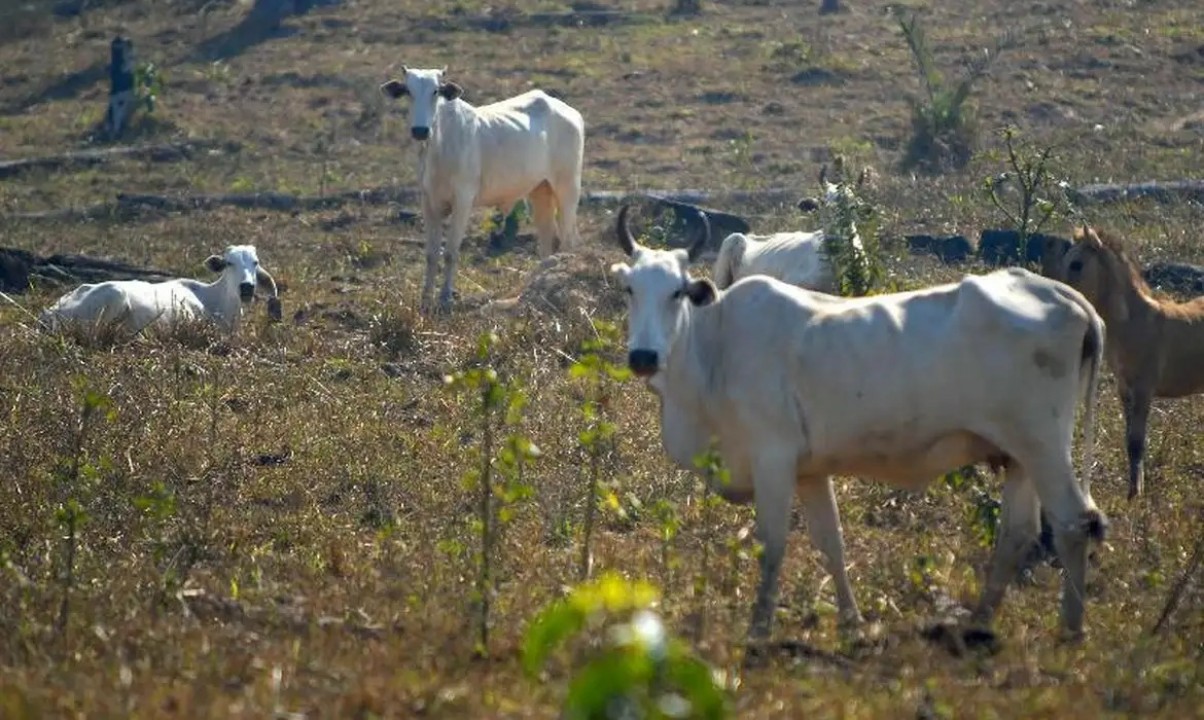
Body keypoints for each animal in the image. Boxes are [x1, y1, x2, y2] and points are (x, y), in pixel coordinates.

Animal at [375, 67, 582, 313]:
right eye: (408, 91)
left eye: (435, 91)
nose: (420, 131)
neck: (439, 145)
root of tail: (569, 111)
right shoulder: (428, 201)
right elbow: (431, 254)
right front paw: (425, 299)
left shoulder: (463, 200)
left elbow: (451, 252)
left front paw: (445, 297)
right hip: (540, 190)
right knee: (546, 241)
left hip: (567, 188)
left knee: (568, 240)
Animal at [611, 205, 1107, 659]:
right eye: (630, 289)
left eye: (677, 291)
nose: (643, 357)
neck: (715, 347)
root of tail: (1064, 296)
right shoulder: (809, 471)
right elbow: (831, 542)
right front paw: (853, 624)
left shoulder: (773, 458)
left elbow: (772, 544)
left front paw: (758, 629)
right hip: (1019, 455)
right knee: (1017, 534)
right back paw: (979, 623)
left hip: (1044, 445)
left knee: (1073, 522)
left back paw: (1072, 629)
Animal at [1049, 228, 1204, 498]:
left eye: (1077, 264)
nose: (1061, 297)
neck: (1133, 323)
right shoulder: (1124, 389)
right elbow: (1128, 439)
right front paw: (1133, 488)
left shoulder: (1144, 388)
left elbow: (1136, 441)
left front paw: (1134, 495)